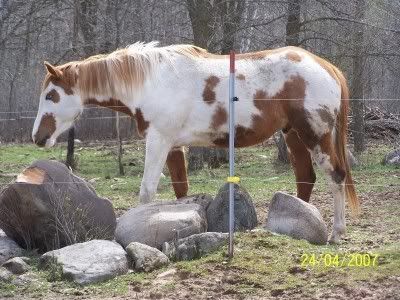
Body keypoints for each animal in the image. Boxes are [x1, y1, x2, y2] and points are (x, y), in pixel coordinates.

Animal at [32, 42, 358, 243]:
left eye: (51, 95)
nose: (38, 137)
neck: (151, 82)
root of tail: (327, 67)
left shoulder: (159, 141)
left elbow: (147, 191)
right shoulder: (174, 146)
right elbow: (180, 191)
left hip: (315, 135)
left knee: (335, 176)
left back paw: (336, 232)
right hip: (294, 135)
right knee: (305, 178)